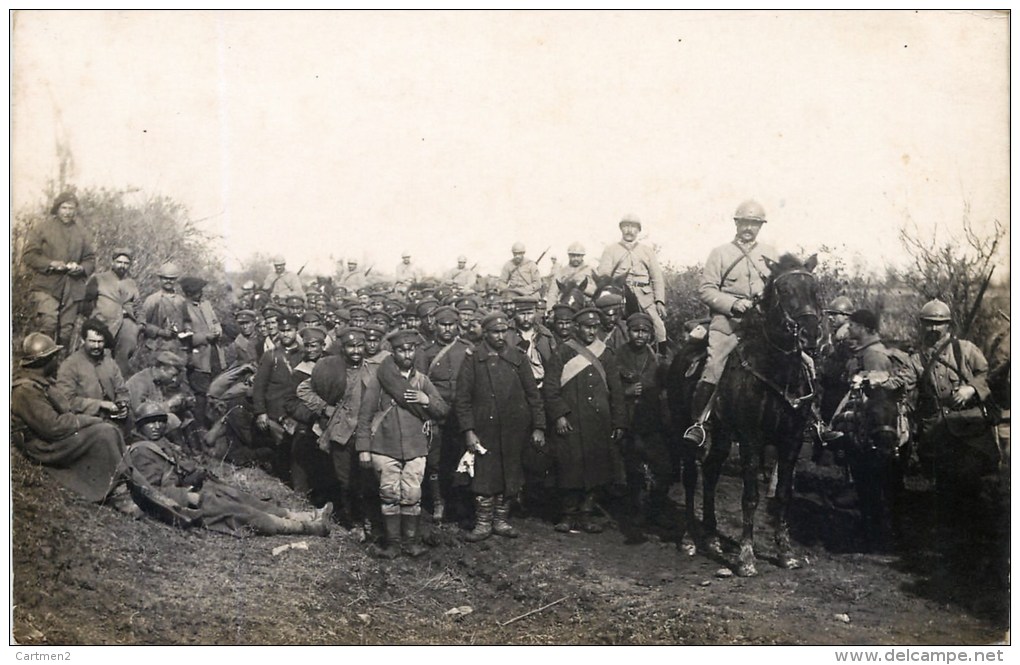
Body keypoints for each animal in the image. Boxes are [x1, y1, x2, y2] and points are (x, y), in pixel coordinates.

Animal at [693, 254, 820, 575]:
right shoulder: (751, 440)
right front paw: (746, 558)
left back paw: (711, 536)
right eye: (784, 290)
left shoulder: (792, 441)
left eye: (814, 289)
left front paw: (785, 553)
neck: (777, 372)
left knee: (710, 471)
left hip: (723, 436)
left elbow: (783, 495)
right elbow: (750, 497)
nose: (811, 334)